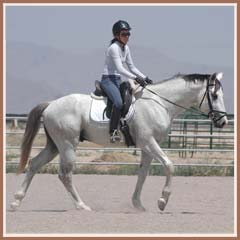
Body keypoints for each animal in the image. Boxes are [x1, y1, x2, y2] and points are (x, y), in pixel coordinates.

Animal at [10, 72, 228, 211]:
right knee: (65, 175)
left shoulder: (147, 147)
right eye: (215, 95)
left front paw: (138, 204)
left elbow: (142, 174)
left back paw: (16, 202)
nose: (223, 121)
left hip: (54, 146)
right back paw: (82, 206)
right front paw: (162, 200)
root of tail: (50, 105)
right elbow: (169, 165)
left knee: (34, 164)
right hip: (67, 145)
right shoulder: (148, 142)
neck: (160, 103)